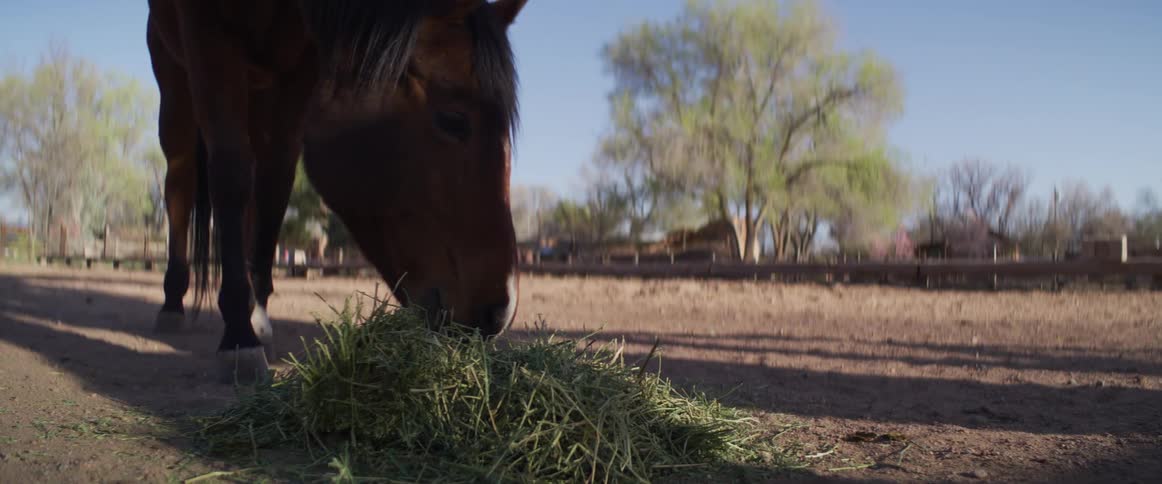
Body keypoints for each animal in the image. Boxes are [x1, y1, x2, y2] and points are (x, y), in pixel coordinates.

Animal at [145, 0, 527, 384]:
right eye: (453, 120)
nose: (497, 312)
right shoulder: (207, 35)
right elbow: (229, 174)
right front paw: (239, 336)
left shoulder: (297, 76)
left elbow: (274, 184)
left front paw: (257, 317)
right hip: (175, 85)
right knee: (179, 185)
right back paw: (173, 301)